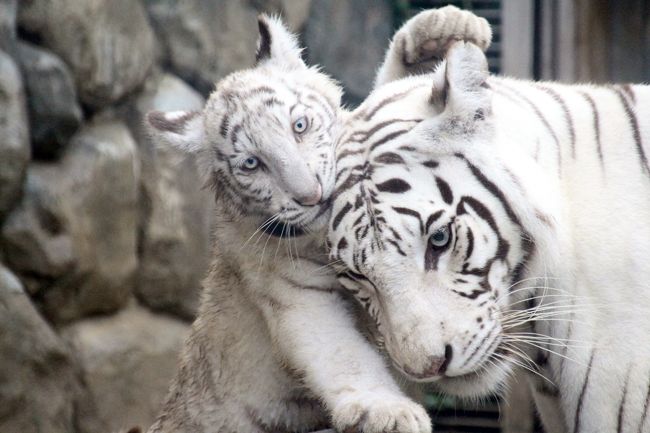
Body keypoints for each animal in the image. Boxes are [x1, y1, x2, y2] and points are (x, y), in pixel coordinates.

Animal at [140, 6, 486, 432]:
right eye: (251, 163)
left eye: (299, 126)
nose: (311, 194)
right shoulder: (296, 291)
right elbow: (342, 354)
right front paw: (387, 410)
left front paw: (442, 29)